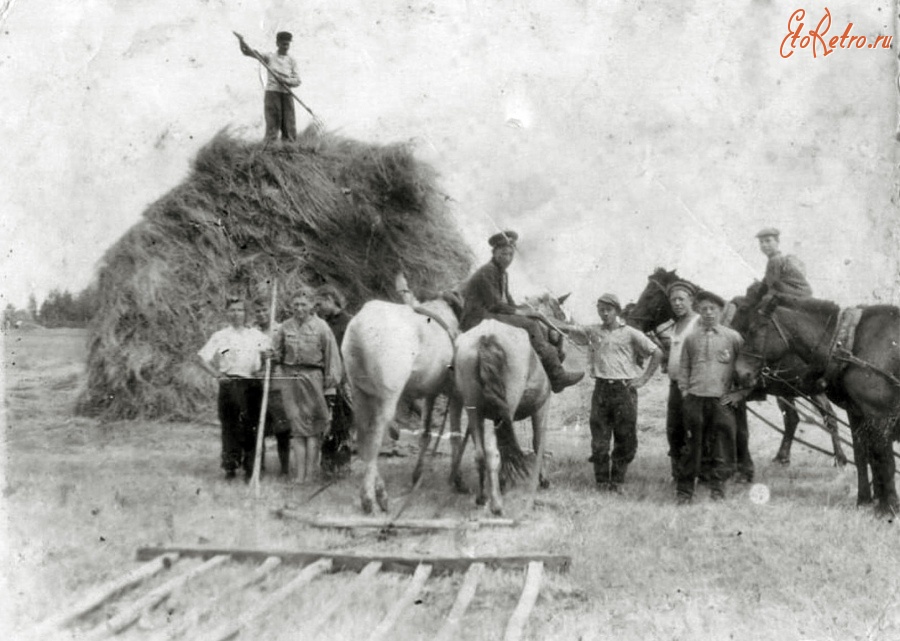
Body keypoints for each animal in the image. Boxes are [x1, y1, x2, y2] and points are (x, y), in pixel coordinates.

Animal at [340, 292, 460, 512]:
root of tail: (359, 327)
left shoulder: (431, 392)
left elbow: (426, 433)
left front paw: (418, 475)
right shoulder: (456, 393)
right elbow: (456, 436)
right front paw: (457, 480)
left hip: (360, 393)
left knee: (363, 435)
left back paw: (376, 491)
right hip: (387, 398)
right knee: (375, 436)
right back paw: (372, 497)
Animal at [454, 318, 552, 516]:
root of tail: (487, 337)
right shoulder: (541, 408)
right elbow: (538, 442)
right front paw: (543, 479)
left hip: (473, 409)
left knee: (481, 454)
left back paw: (483, 497)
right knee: (495, 453)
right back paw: (497, 504)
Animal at [628, 268, 848, 468]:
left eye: (649, 295)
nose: (632, 323)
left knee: (827, 417)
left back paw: (839, 458)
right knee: (799, 418)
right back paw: (786, 457)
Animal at [732, 296, 900, 516]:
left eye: (753, 330)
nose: (738, 374)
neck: (849, 343)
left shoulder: (879, 415)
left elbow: (884, 458)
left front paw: (889, 507)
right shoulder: (856, 413)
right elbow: (864, 456)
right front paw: (866, 501)